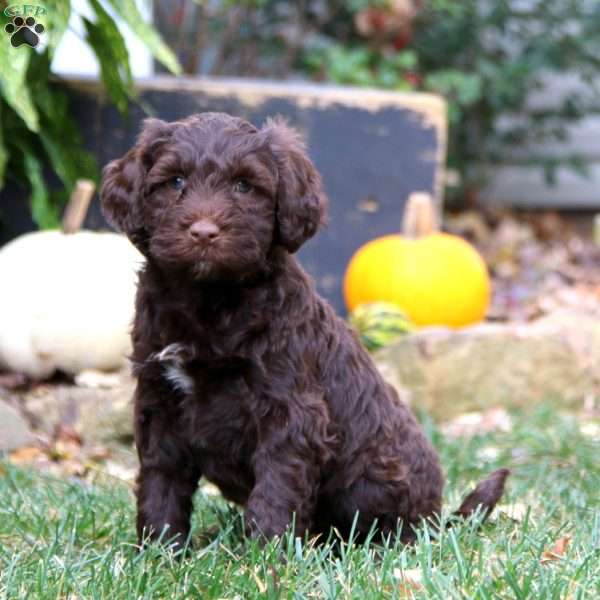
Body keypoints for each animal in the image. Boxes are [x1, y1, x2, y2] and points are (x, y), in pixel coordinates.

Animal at [101, 112, 508, 548]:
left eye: (244, 186)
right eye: (175, 181)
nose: (204, 233)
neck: (209, 301)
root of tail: (436, 519)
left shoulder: (291, 409)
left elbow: (276, 486)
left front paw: (266, 552)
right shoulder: (158, 400)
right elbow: (161, 479)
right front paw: (159, 549)